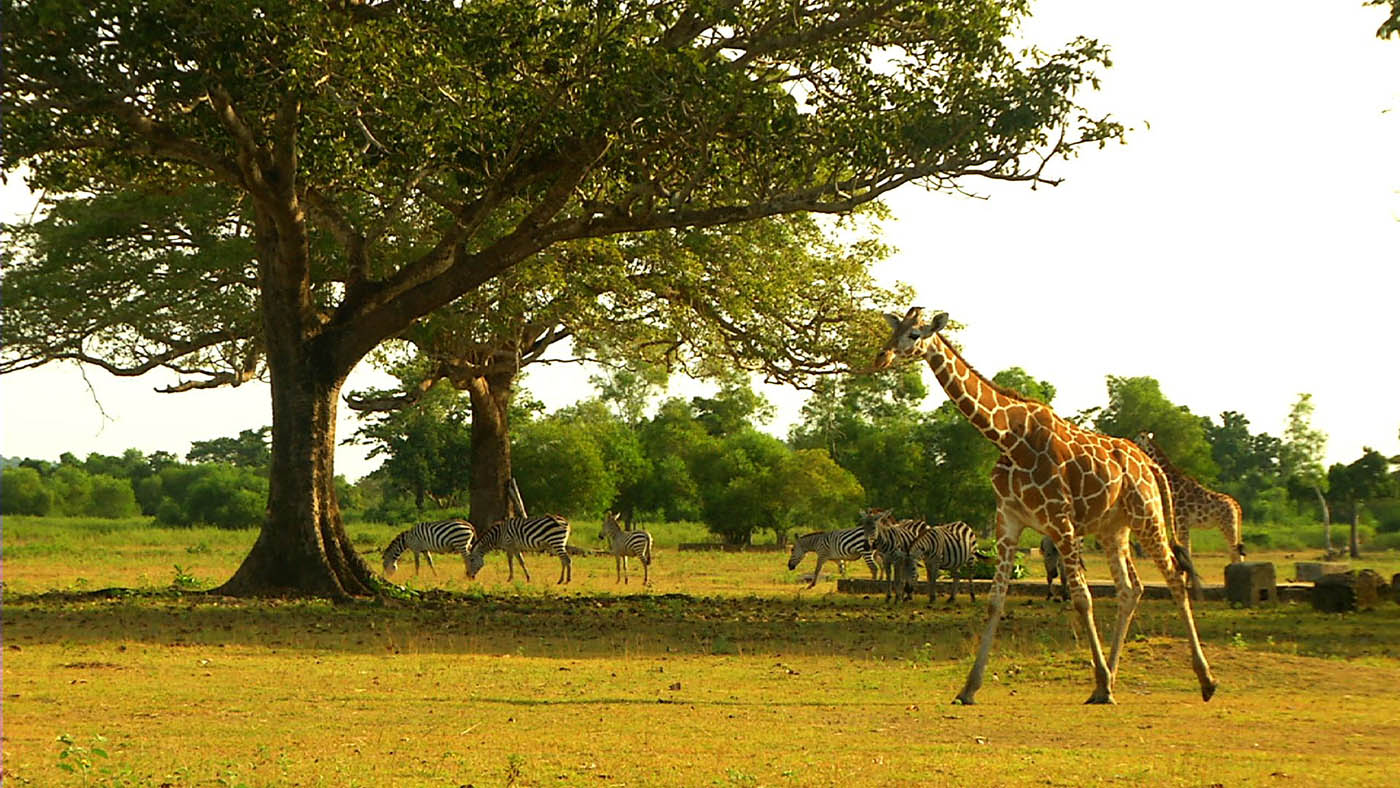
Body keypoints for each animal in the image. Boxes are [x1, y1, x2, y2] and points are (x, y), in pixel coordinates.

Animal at [873, 307, 1215, 708]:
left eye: (914, 334)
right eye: (892, 329)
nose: (882, 357)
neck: (1008, 438)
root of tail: (1150, 464)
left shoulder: (1061, 520)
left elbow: (1081, 599)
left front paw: (1101, 680)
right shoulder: (1008, 522)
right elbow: (995, 600)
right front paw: (968, 688)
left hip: (1148, 515)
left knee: (1174, 575)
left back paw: (1204, 681)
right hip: (1114, 529)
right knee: (1131, 589)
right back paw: (1111, 680)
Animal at [1136, 433, 1248, 582]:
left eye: (1136, 440)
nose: (1131, 442)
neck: (1174, 484)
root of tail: (1237, 506)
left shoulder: (1182, 522)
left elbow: (1186, 550)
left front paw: (1188, 580)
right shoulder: (1179, 523)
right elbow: (1183, 549)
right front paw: (1187, 579)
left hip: (1227, 525)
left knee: (1235, 551)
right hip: (1231, 525)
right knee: (1236, 551)